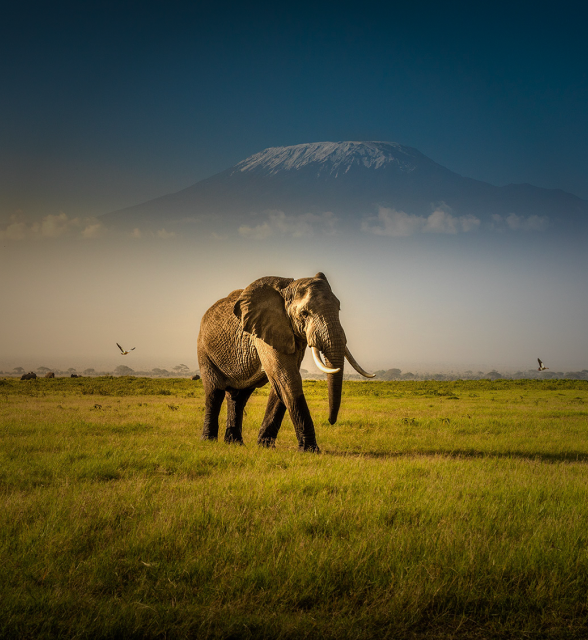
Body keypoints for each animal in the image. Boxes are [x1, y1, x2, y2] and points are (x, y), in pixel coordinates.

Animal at [197, 273, 374, 452]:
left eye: (339, 308)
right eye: (304, 313)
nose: (331, 421)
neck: (287, 290)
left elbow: (280, 383)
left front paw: (265, 446)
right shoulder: (264, 331)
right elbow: (287, 378)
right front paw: (310, 450)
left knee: (238, 396)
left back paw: (235, 443)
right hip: (204, 350)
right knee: (214, 392)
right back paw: (209, 441)